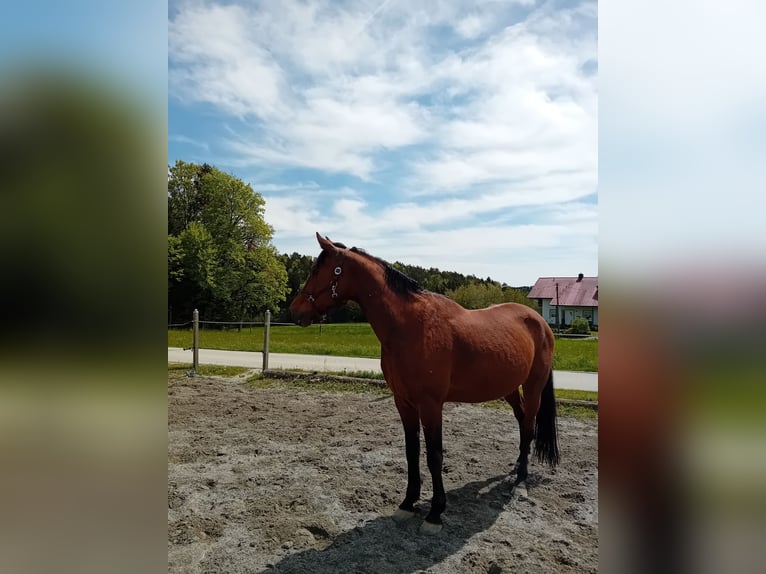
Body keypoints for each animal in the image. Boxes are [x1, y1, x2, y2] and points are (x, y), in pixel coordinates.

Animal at [292, 234, 560, 536]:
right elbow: (412, 452)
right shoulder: (404, 402)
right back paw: (516, 466)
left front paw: (435, 513)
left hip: (534, 386)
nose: (295, 310)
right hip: (510, 388)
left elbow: (434, 455)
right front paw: (408, 503)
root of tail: (539, 322)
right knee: (522, 422)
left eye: (318, 270)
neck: (409, 327)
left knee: (528, 425)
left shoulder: (431, 405)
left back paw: (521, 481)